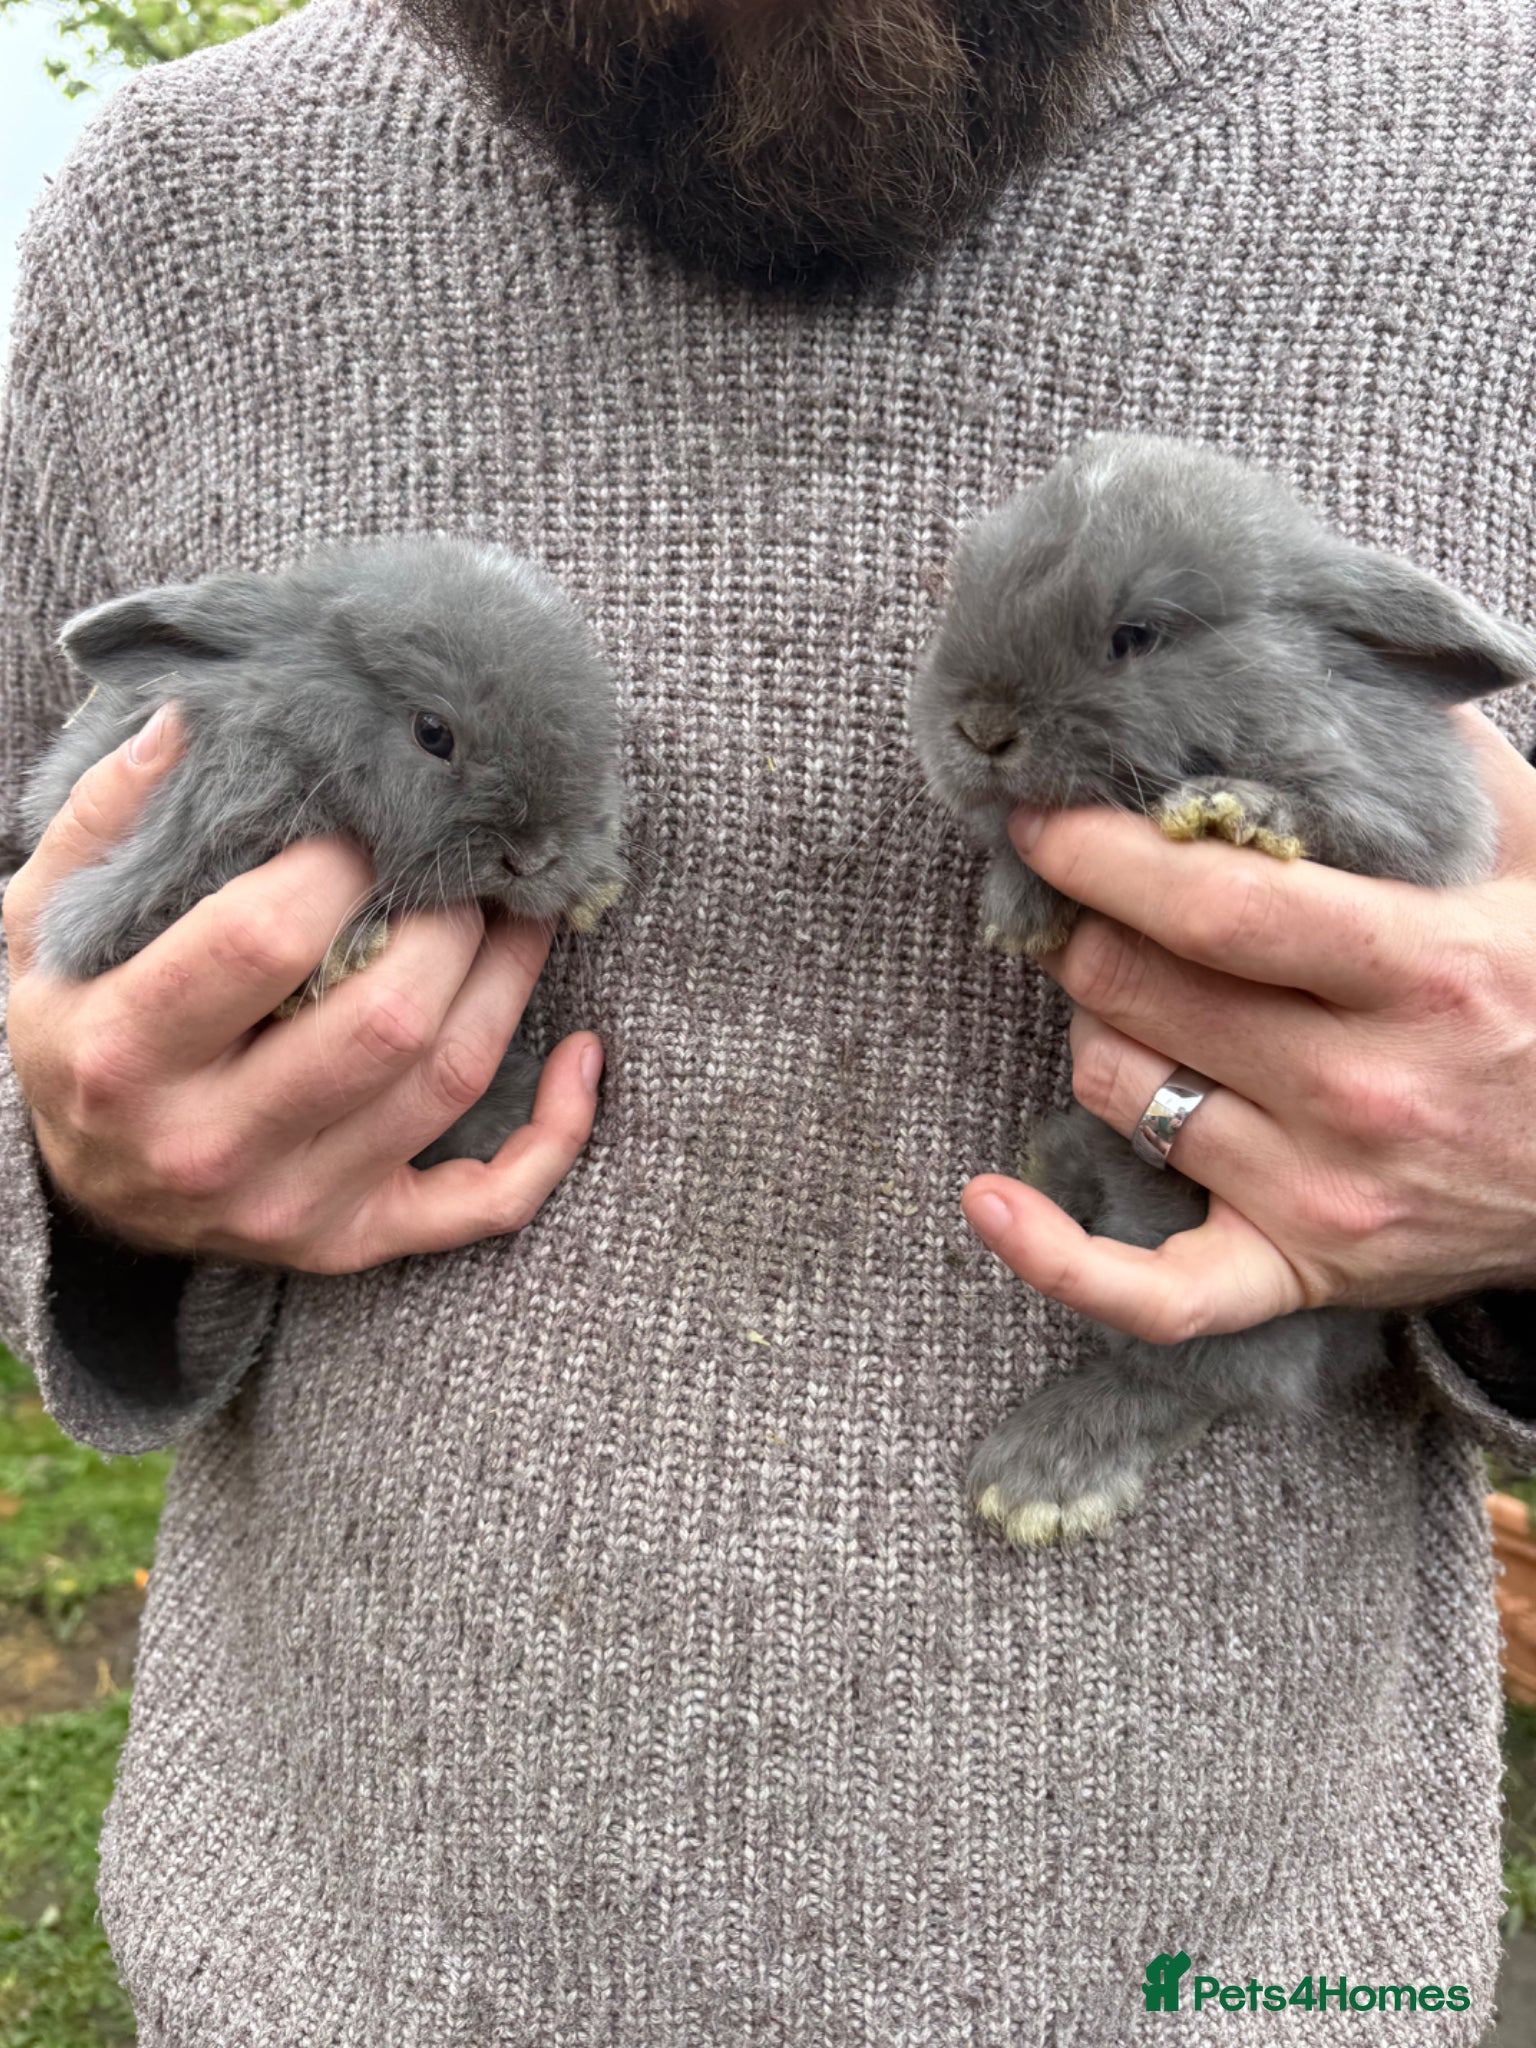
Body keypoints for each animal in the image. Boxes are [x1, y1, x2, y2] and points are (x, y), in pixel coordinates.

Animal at [909, 432, 1536, 1547]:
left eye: (1136, 635)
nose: (979, 729)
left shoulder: (1411, 834)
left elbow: (1330, 823)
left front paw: (1233, 815)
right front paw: (1021, 909)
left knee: (1193, 1383)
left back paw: (1040, 1476)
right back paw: (1056, 1161)